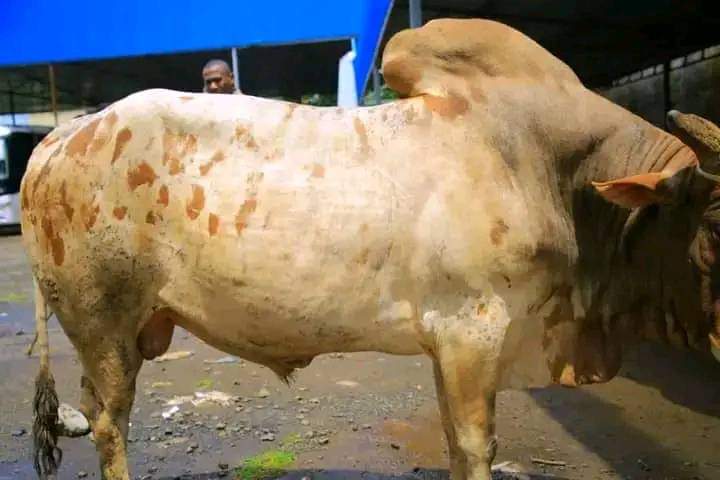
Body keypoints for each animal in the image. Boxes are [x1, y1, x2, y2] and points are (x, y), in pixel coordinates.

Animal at [21, 18, 720, 480]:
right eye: (712, 228)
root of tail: (59, 138)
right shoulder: (473, 329)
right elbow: (477, 444)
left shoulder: (449, 340)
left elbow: (455, 439)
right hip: (103, 322)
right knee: (110, 424)